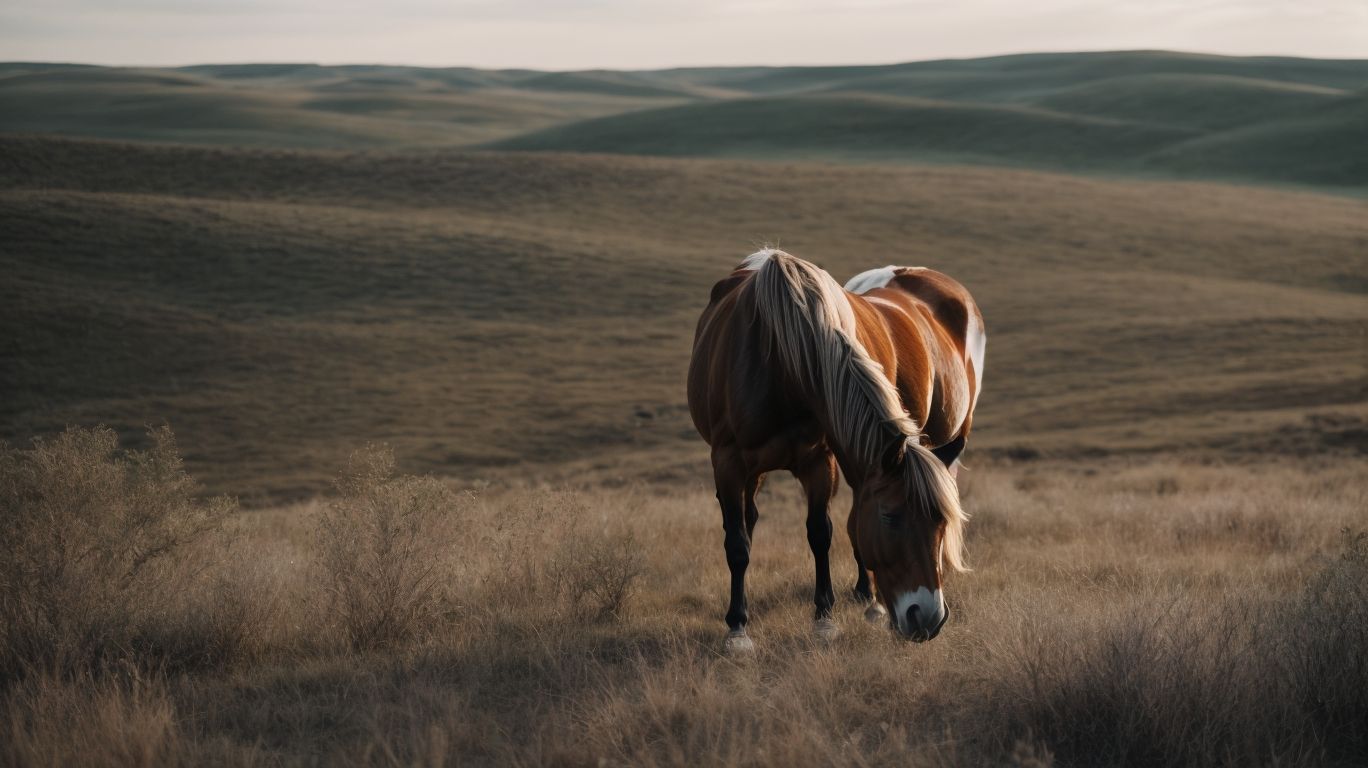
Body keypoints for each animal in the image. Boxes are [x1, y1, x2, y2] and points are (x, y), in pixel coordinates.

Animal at [686, 249, 985, 650]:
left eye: (941, 520)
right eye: (890, 516)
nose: (929, 619)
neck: (780, 359)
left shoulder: (821, 461)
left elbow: (820, 533)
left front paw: (824, 619)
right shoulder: (730, 463)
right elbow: (738, 542)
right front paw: (737, 628)